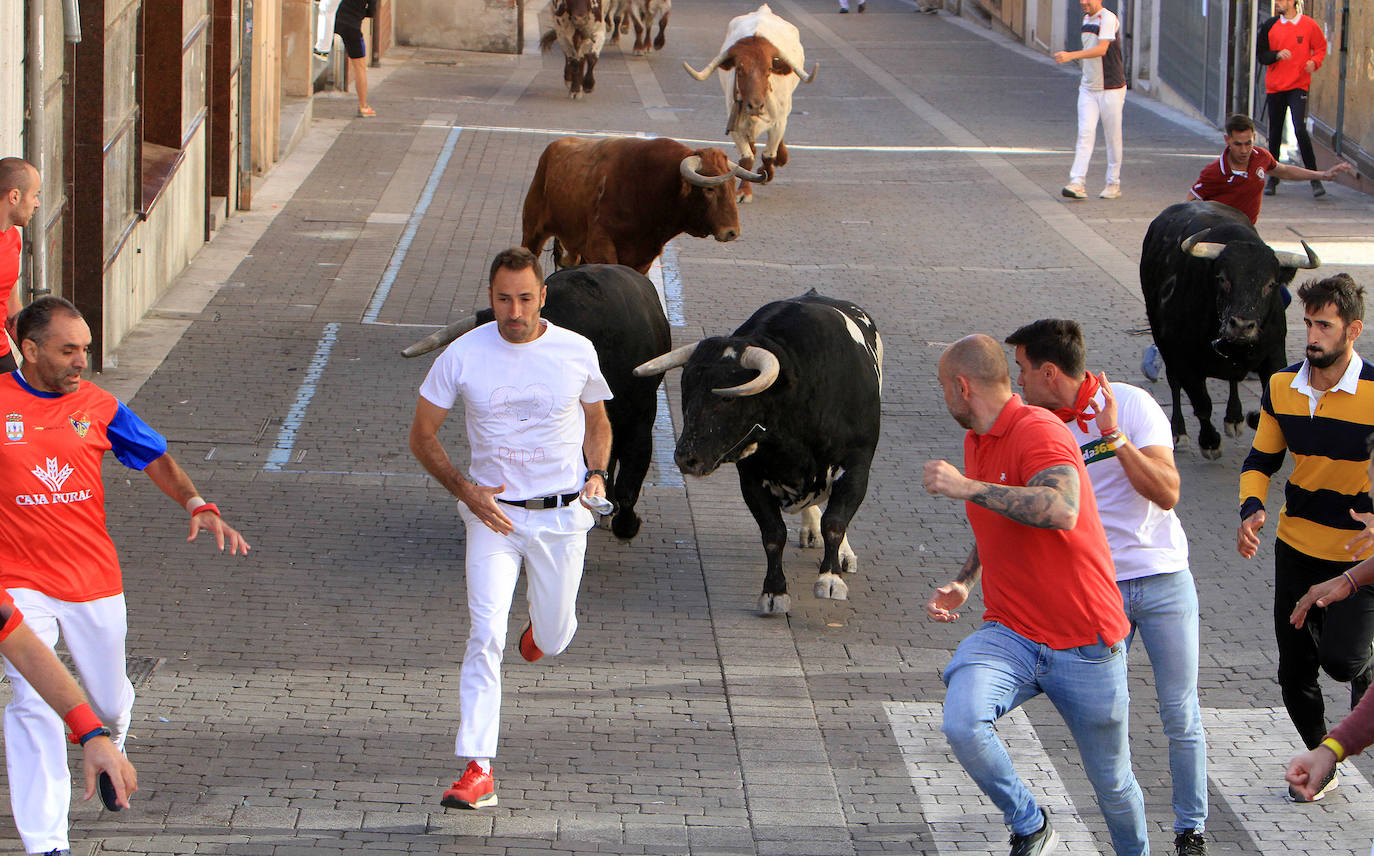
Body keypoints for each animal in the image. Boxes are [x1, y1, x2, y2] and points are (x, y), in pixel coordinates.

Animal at [632, 292, 879, 615]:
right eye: (686, 389)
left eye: (726, 398)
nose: (686, 458)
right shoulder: (751, 479)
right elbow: (773, 534)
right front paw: (774, 592)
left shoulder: (856, 467)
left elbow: (835, 523)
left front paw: (830, 577)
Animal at [684, 3, 813, 201]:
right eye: (740, 68)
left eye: (769, 69)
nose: (755, 106)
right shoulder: (735, 122)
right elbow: (746, 159)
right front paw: (744, 190)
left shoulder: (778, 122)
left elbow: (768, 154)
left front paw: (767, 173)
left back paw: (781, 158)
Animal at [1137, 200, 1319, 458]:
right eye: (1222, 278)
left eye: (1270, 284)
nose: (1242, 325)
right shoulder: (1183, 360)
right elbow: (1202, 403)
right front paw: (1210, 442)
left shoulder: (1274, 355)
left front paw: (1251, 418)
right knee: (1174, 383)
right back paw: (1179, 432)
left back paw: (1234, 417)